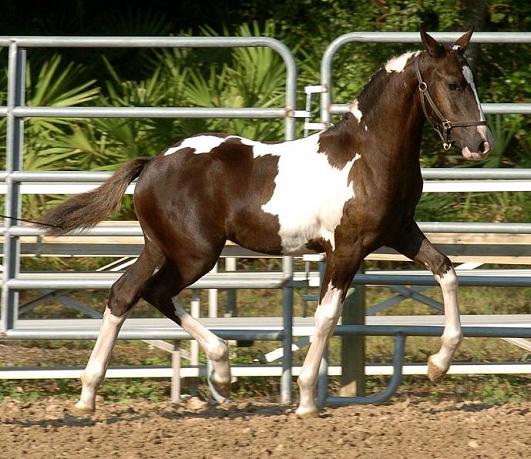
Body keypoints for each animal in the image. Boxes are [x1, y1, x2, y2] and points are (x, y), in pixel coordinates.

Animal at [38, 28, 494, 416]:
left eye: (473, 81)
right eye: (453, 84)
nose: (480, 144)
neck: (368, 156)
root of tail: (152, 163)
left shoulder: (399, 232)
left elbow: (446, 270)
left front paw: (438, 364)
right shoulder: (347, 248)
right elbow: (327, 316)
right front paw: (307, 398)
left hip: (160, 247)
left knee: (124, 294)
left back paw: (90, 395)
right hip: (194, 253)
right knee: (154, 291)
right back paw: (221, 368)